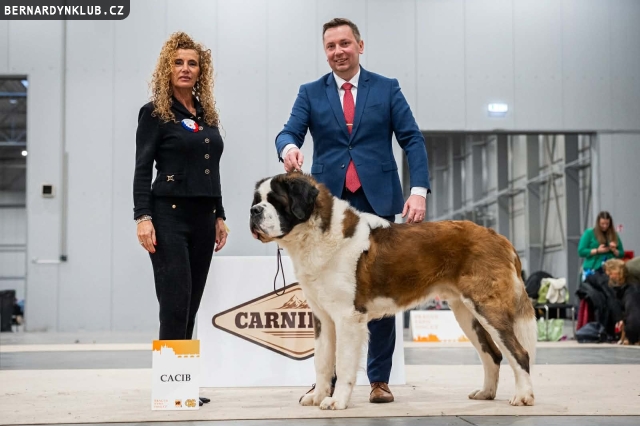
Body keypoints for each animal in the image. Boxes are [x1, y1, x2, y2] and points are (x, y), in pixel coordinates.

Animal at [250, 173, 537, 410]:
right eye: (257, 200)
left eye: (276, 200)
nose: (253, 211)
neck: (314, 235)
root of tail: (499, 237)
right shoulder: (323, 318)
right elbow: (322, 361)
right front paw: (317, 396)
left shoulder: (347, 317)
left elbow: (343, 363)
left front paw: (336, 401)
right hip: (466, 312)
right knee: (493, 354)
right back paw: (486, 393)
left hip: (486, 307)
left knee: (518, 352)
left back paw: (523, 397)